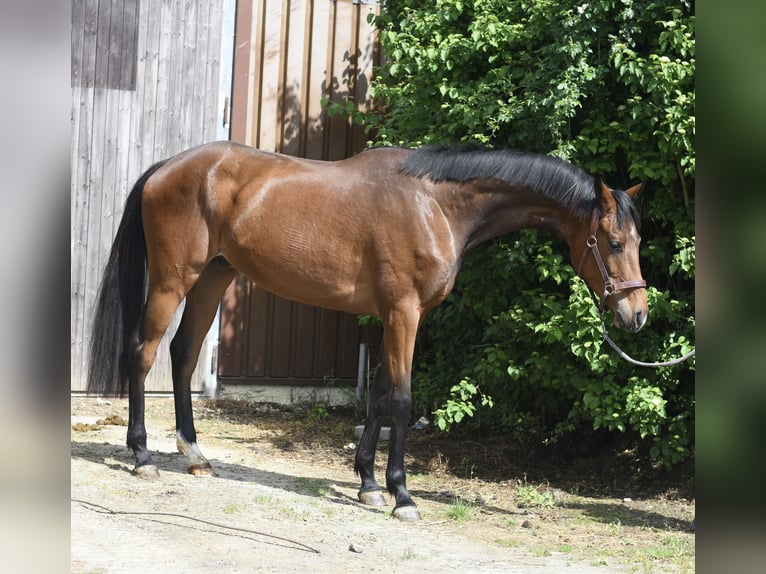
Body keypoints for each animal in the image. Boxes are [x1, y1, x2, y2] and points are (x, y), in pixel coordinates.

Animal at [87, 141, 648, 521]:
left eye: (638, 240)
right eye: (614, 242)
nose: (636, 314)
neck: (436, 205)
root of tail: (166, 168)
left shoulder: (391, 317)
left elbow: (378, 398)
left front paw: (368, 484)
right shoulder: (404, 313)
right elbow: (400, 400)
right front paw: (401, 495)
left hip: (213, 276)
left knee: (183, 354)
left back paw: (195, 454)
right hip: (173, 279)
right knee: (142, 353)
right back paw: (141, 456)